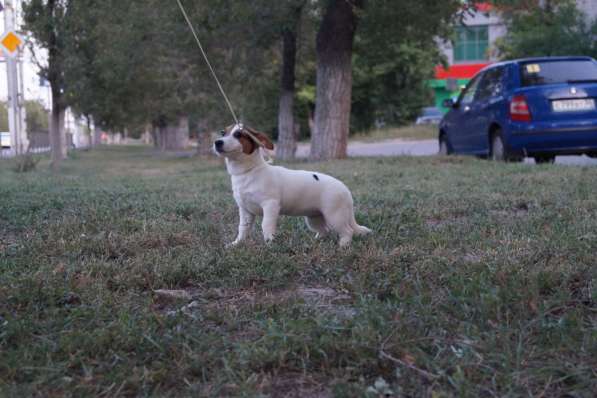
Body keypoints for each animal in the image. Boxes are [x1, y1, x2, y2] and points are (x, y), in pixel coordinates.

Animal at [214, 125, 370, 249]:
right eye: (222, 132)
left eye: (238, 134)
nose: (217, 142)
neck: (248, 172)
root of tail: (345, 189)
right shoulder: (245, 210)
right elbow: (242, 229)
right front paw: (237, 244)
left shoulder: (270, 205)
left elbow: (266, 225)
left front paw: (269, 244)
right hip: (314, 218)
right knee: (324, 231)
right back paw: (316, 242)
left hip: (335, 216)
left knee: (347, 231)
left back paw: (343, 245)